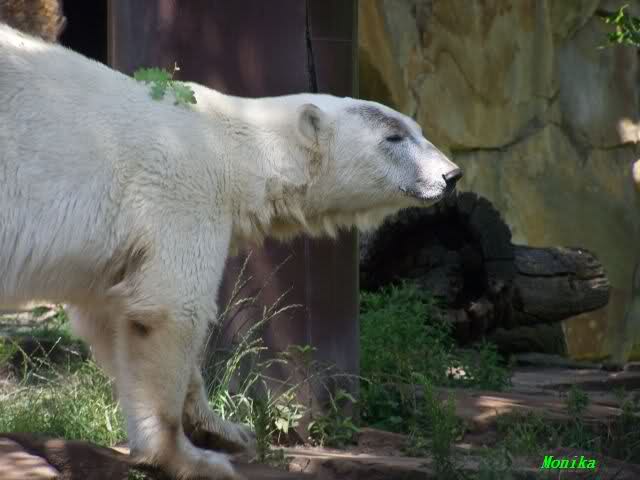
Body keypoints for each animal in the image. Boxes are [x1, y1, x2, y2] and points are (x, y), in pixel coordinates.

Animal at [0, 23, 462, 480]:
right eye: (393, 137)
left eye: (418, 129)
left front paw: (224, 430)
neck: (230, 146)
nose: (451, 175)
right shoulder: (180, 192)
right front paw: (189, 458)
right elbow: (170, 308)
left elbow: (111, 313)